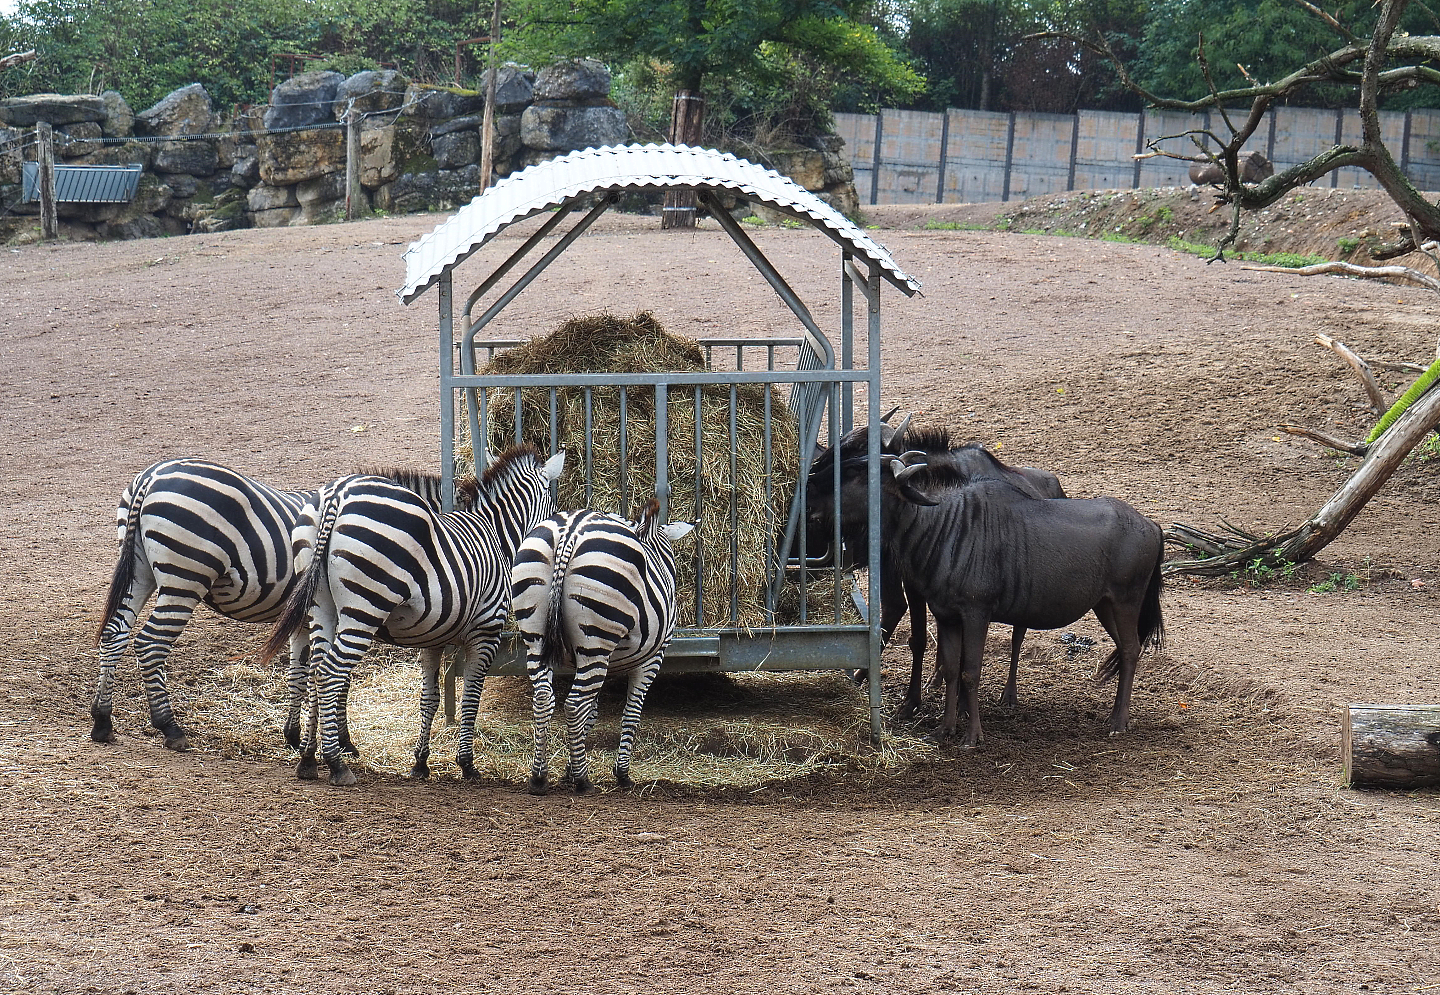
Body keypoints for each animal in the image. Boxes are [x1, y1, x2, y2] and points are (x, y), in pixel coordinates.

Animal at [93, 458, 466, 752]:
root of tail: (151, 476)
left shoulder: (306, 618)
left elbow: (301, 672)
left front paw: (296, 735)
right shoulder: (353, 610)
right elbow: (338, 677)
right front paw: (341, 741)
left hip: (140, 570)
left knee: (115, 634)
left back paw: (102, 720)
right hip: (185, 576)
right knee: (150, 643)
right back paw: (169, 726)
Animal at [262, 444, 565, 787]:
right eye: (553, 503)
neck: (495, 535)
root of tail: (338, 494)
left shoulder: (434, 636)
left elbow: (429, 698)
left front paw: (421, 762)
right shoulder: (485, 632)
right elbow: (471, 697)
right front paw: (466, 764)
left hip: (321, 606)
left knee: (315, 670)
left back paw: (308, 759)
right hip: (364, 606)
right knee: (330, 672)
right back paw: (336, 764)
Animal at [511, 497, 694, 795]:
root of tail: (570, 531)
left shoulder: (586, 658)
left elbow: (592, 711)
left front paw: (569, 768)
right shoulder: (652, 658)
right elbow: (631, 712)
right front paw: (620, 773)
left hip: (537, 638)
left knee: (544, 699)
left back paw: (538, 777)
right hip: (596, 640)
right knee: (574, 704)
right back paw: (583, 781)